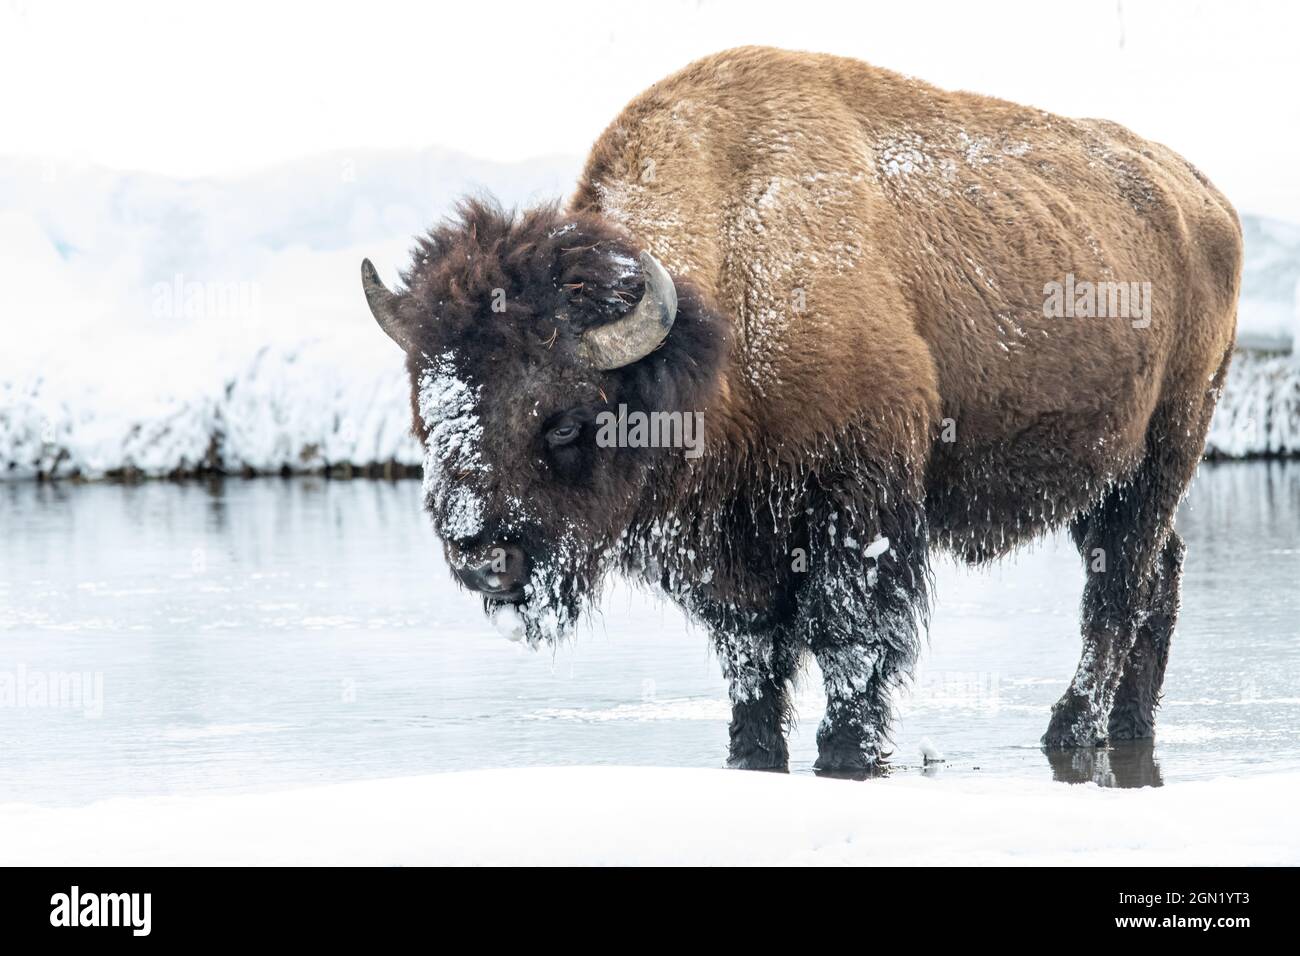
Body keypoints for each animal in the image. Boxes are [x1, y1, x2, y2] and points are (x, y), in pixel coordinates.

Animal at [356, 46, 1237, 780]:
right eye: (427, 419)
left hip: (1165, 451)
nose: (480, 555)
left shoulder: (858, 506)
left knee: (1116, 592)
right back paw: (1128, 725)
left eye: (565, 420)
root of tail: (1204, 196)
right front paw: (751, 753)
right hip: (1108, 481)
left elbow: (850, 641)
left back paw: (1070, 730)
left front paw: (846, 753)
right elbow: (753, 655)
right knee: (1155, 577)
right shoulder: (727, 542)